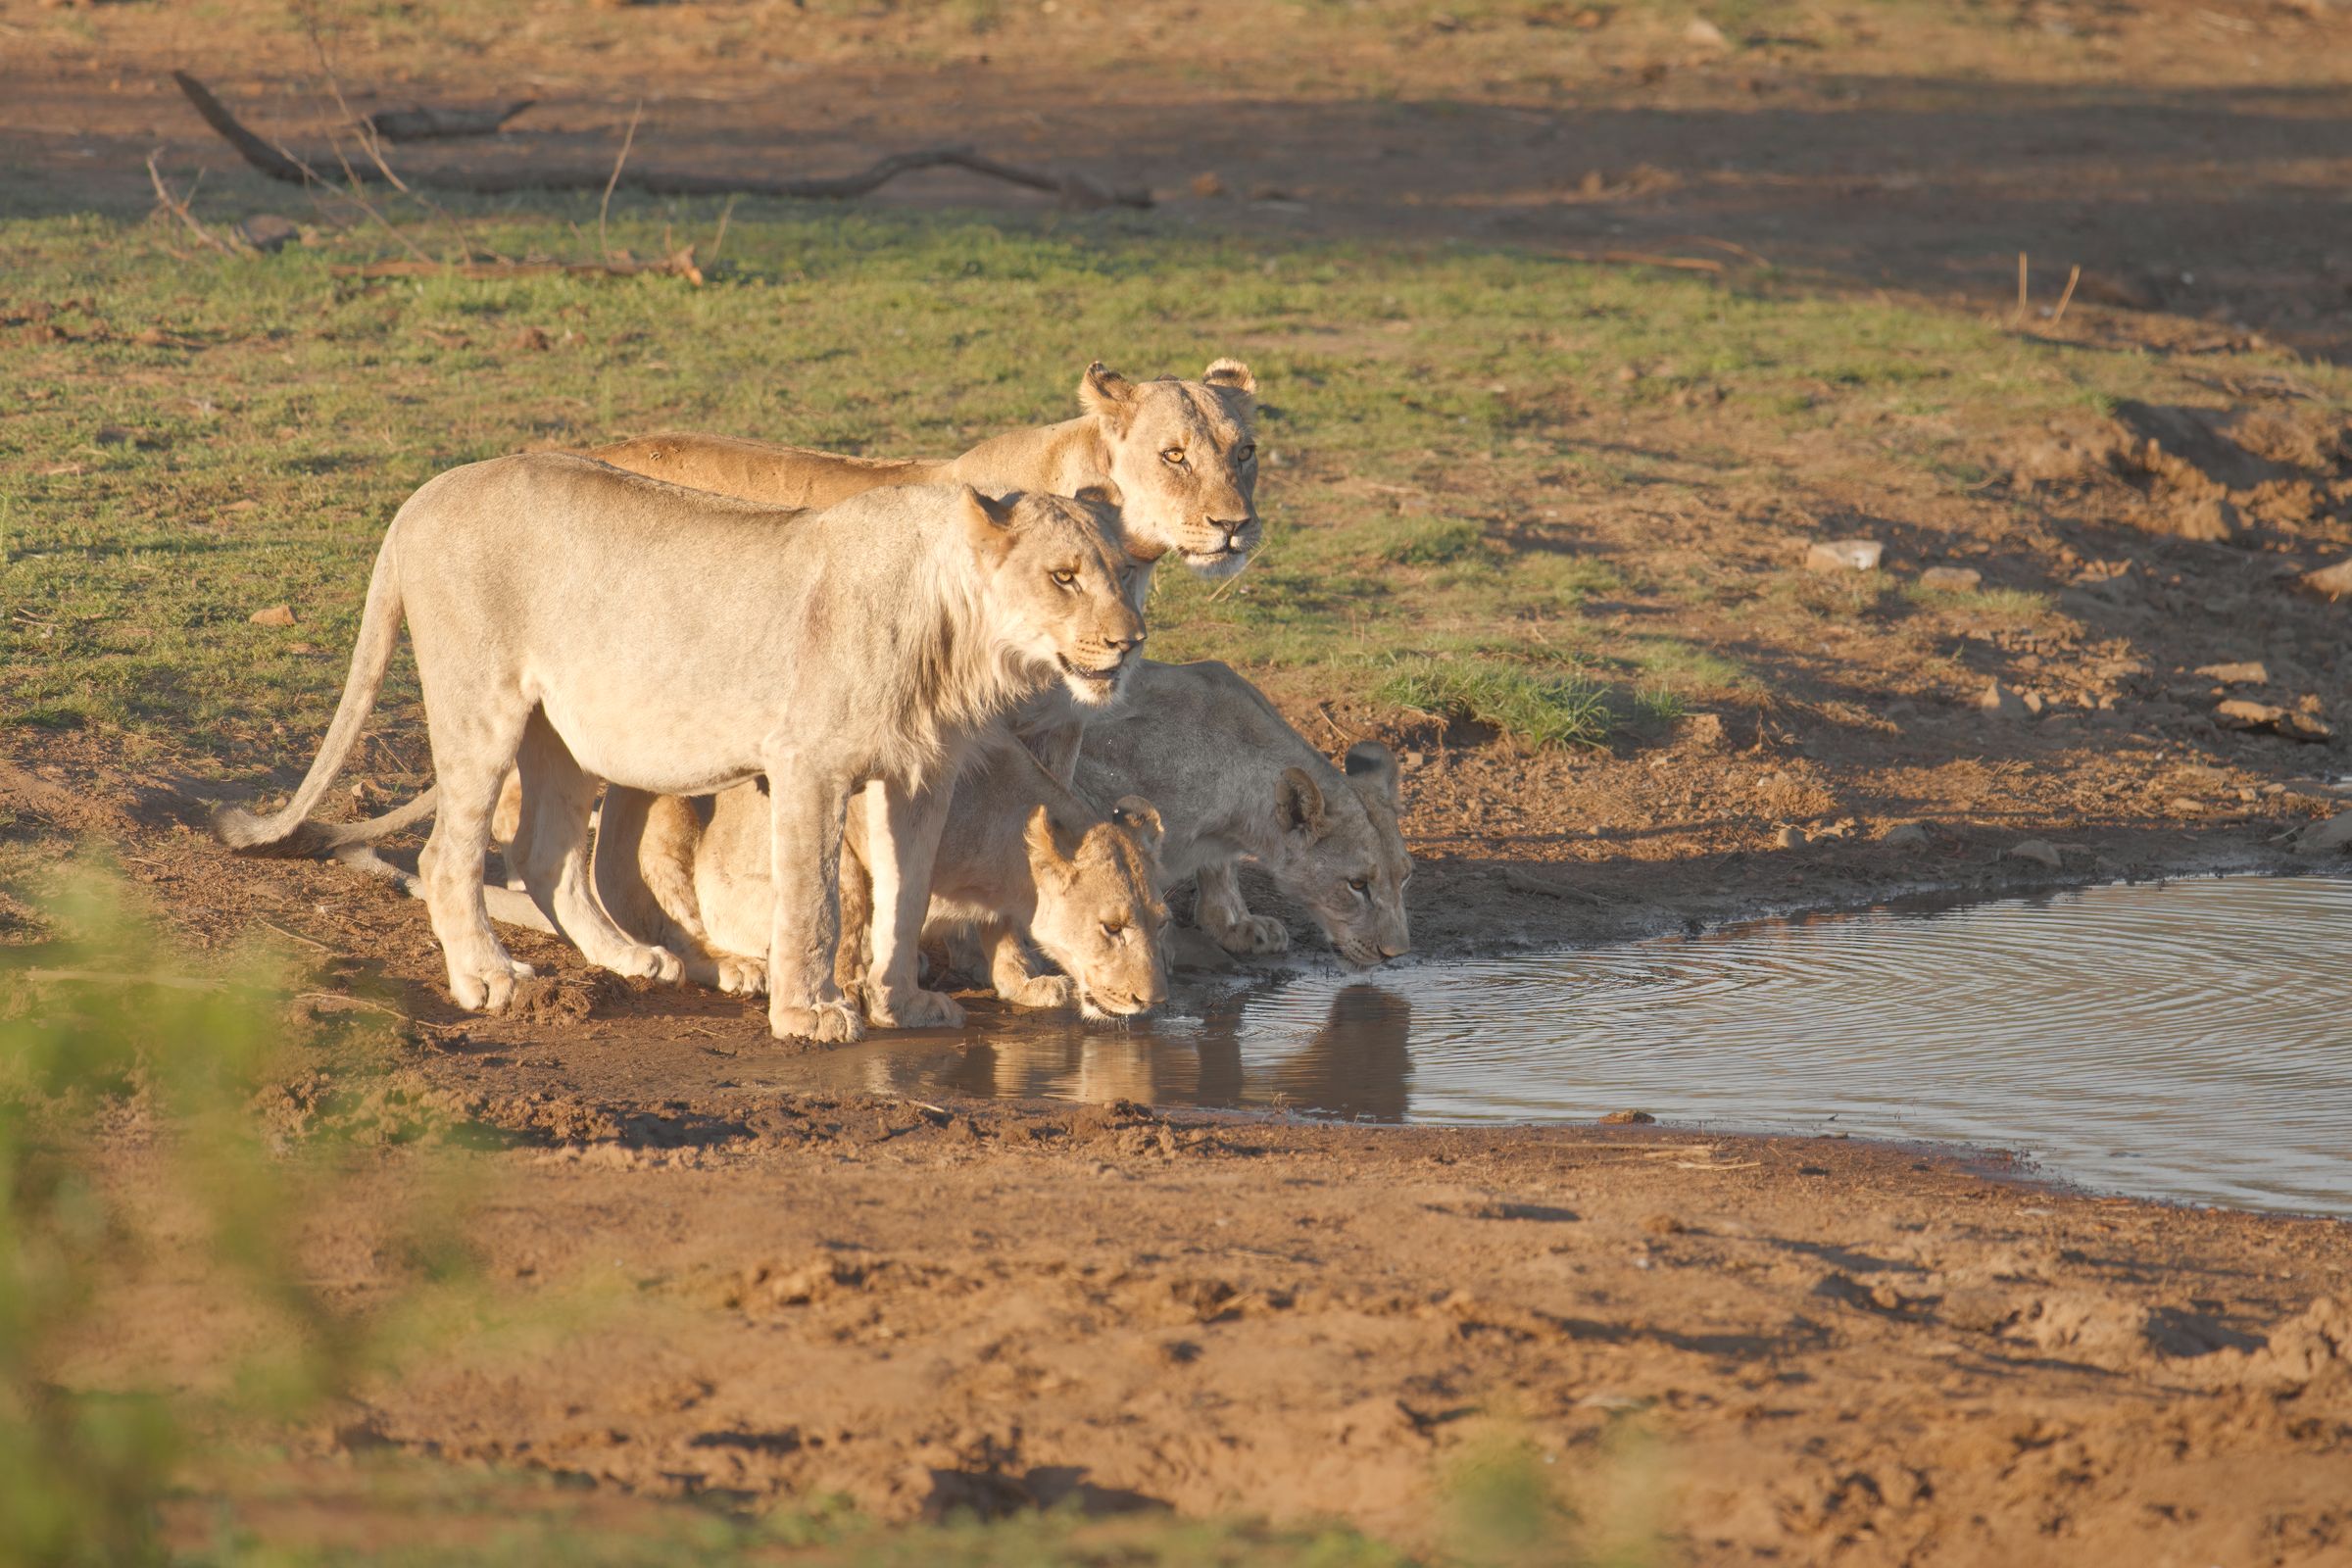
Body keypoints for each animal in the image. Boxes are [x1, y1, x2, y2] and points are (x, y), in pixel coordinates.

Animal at [214, 453, 1148, 1044]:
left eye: (1122, 574)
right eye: (1064, 577)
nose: (1130, 642)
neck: (956, 632)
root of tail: (423, 495)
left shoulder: (920, 774)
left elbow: (906, 892)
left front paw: (903, 1005)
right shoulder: (809, 763)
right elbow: (817, 899)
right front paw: (809, 1013)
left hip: (562, 730)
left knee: (549, 855)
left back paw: (633, 959)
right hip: (482, 701)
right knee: (451, 853)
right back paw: (491, 978)